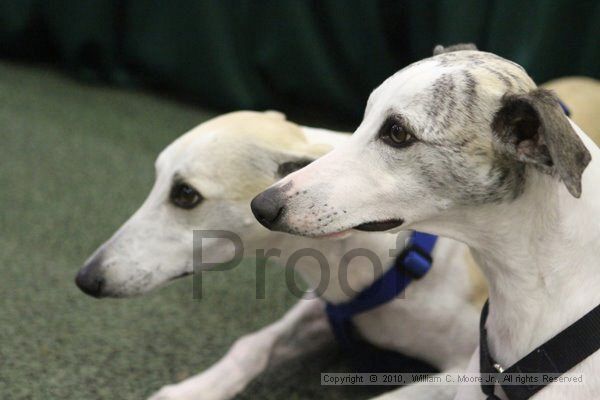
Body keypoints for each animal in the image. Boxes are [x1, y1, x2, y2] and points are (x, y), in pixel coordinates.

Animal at [76, 110, 488, 400]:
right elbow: (252, 345)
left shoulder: (473, 369)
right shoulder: (328, 307)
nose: (86, 278)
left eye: (186, 194)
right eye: (158, 179)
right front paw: (194, 389)